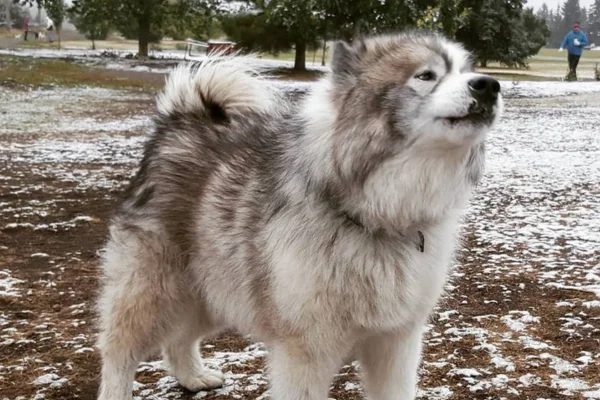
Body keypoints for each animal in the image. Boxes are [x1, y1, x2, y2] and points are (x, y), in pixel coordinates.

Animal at [97, 29, 502, 398]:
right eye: (426, 75)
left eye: (467, 70)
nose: (490, 85)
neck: (377, 218)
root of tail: (180, 122)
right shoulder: (305, 352)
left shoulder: (396, 342)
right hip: (153, 291)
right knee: (119, 351)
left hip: (213, 292)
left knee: (178, 339)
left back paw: (193, 377)